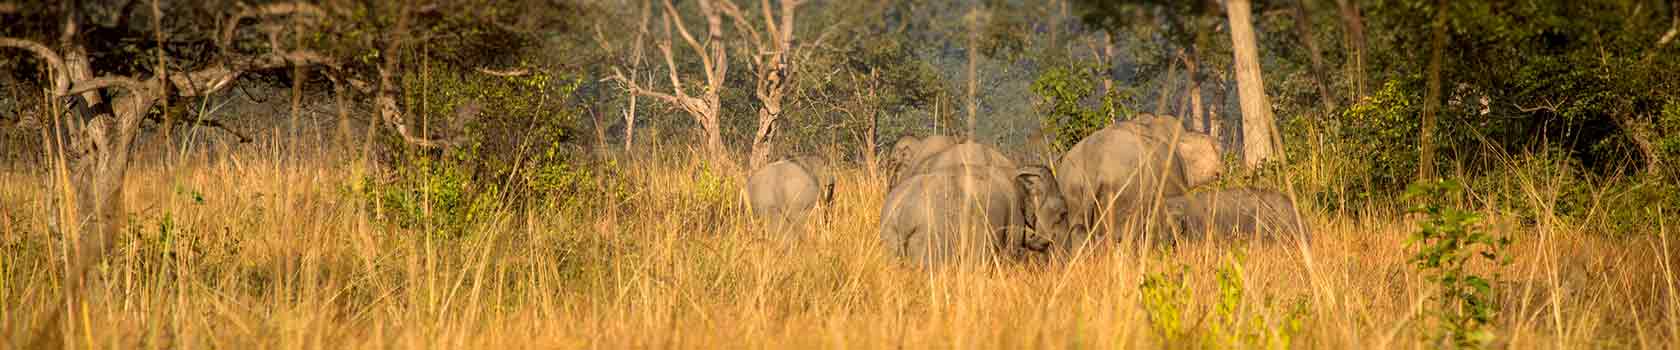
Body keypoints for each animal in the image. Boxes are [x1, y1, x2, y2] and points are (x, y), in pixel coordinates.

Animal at [873, 164, 1068, 267]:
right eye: (1062, 214)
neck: (1013, 171)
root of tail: (903, 214)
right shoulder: (1012, 217)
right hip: (930, 239)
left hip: (889, 238)